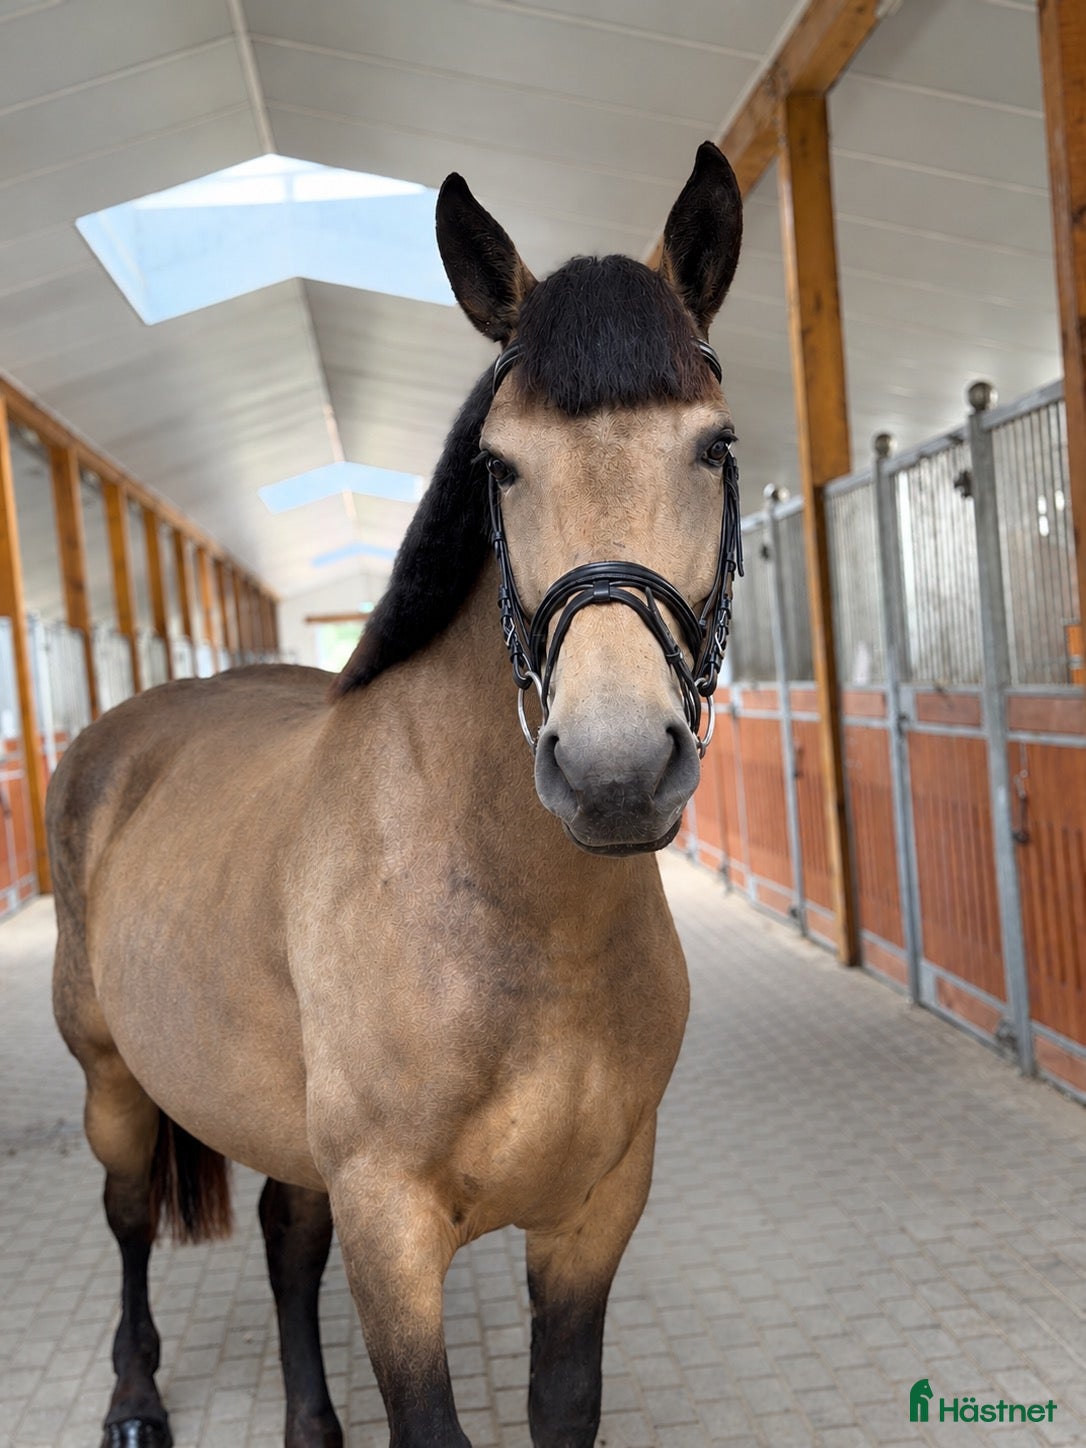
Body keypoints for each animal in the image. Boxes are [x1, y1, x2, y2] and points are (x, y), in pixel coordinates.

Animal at [48, 140, 743, 1448]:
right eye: (498, 465)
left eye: (715, 447)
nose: (616, 769)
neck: (520, 923)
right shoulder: (394, 1231)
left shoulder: (596, 1211)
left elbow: (562, 1403)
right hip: (113, 1077)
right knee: (124, 1216)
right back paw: (132, 1397)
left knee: (283, 1234)